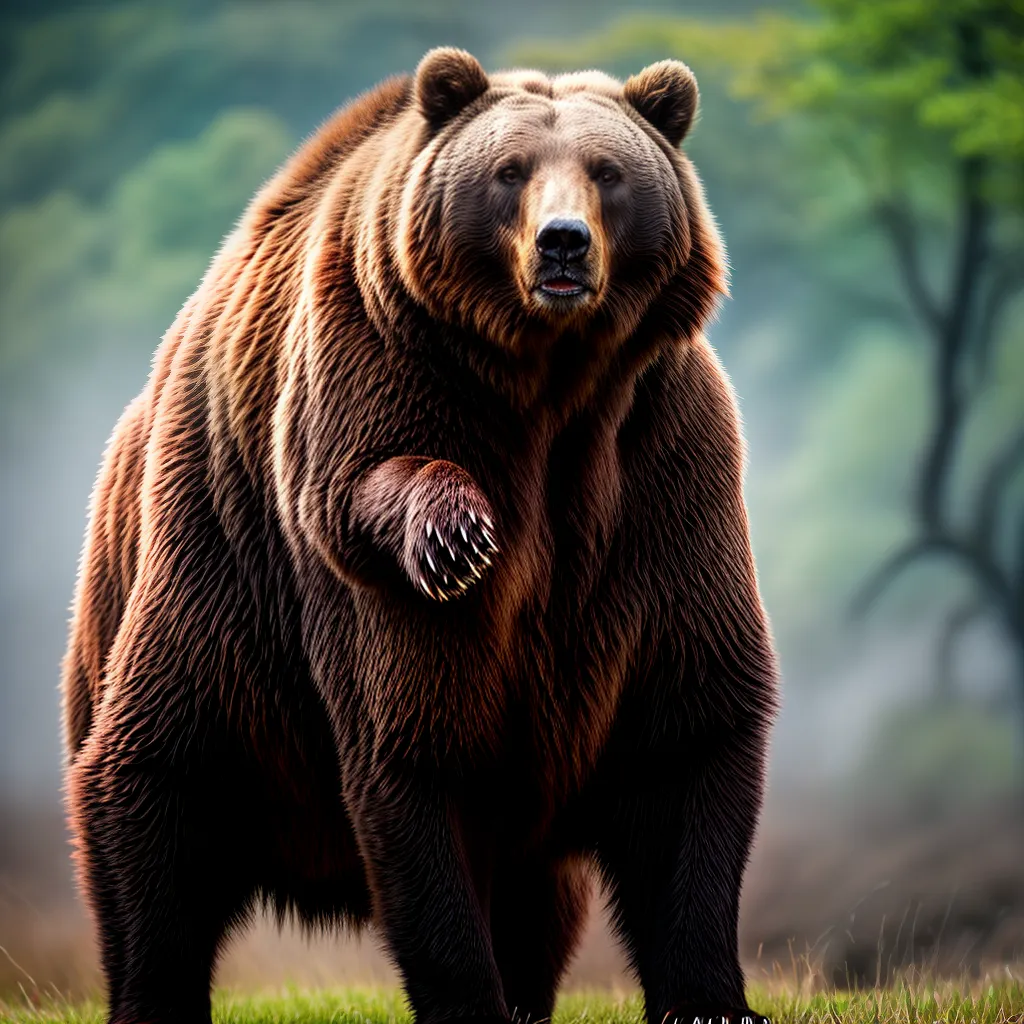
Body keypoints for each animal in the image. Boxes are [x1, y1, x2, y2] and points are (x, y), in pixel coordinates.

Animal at [62, 47, 779, 1024]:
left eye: (608, 171)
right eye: (509, 171)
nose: (563, 243)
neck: (548, 388)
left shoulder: (659, 479)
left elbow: (685, 740)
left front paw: (709, 995)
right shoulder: (376, 396)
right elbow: (416, 745)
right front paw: (457, 536)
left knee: (536, 891)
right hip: (207, 570)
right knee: (156, 786)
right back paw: (153, 990)